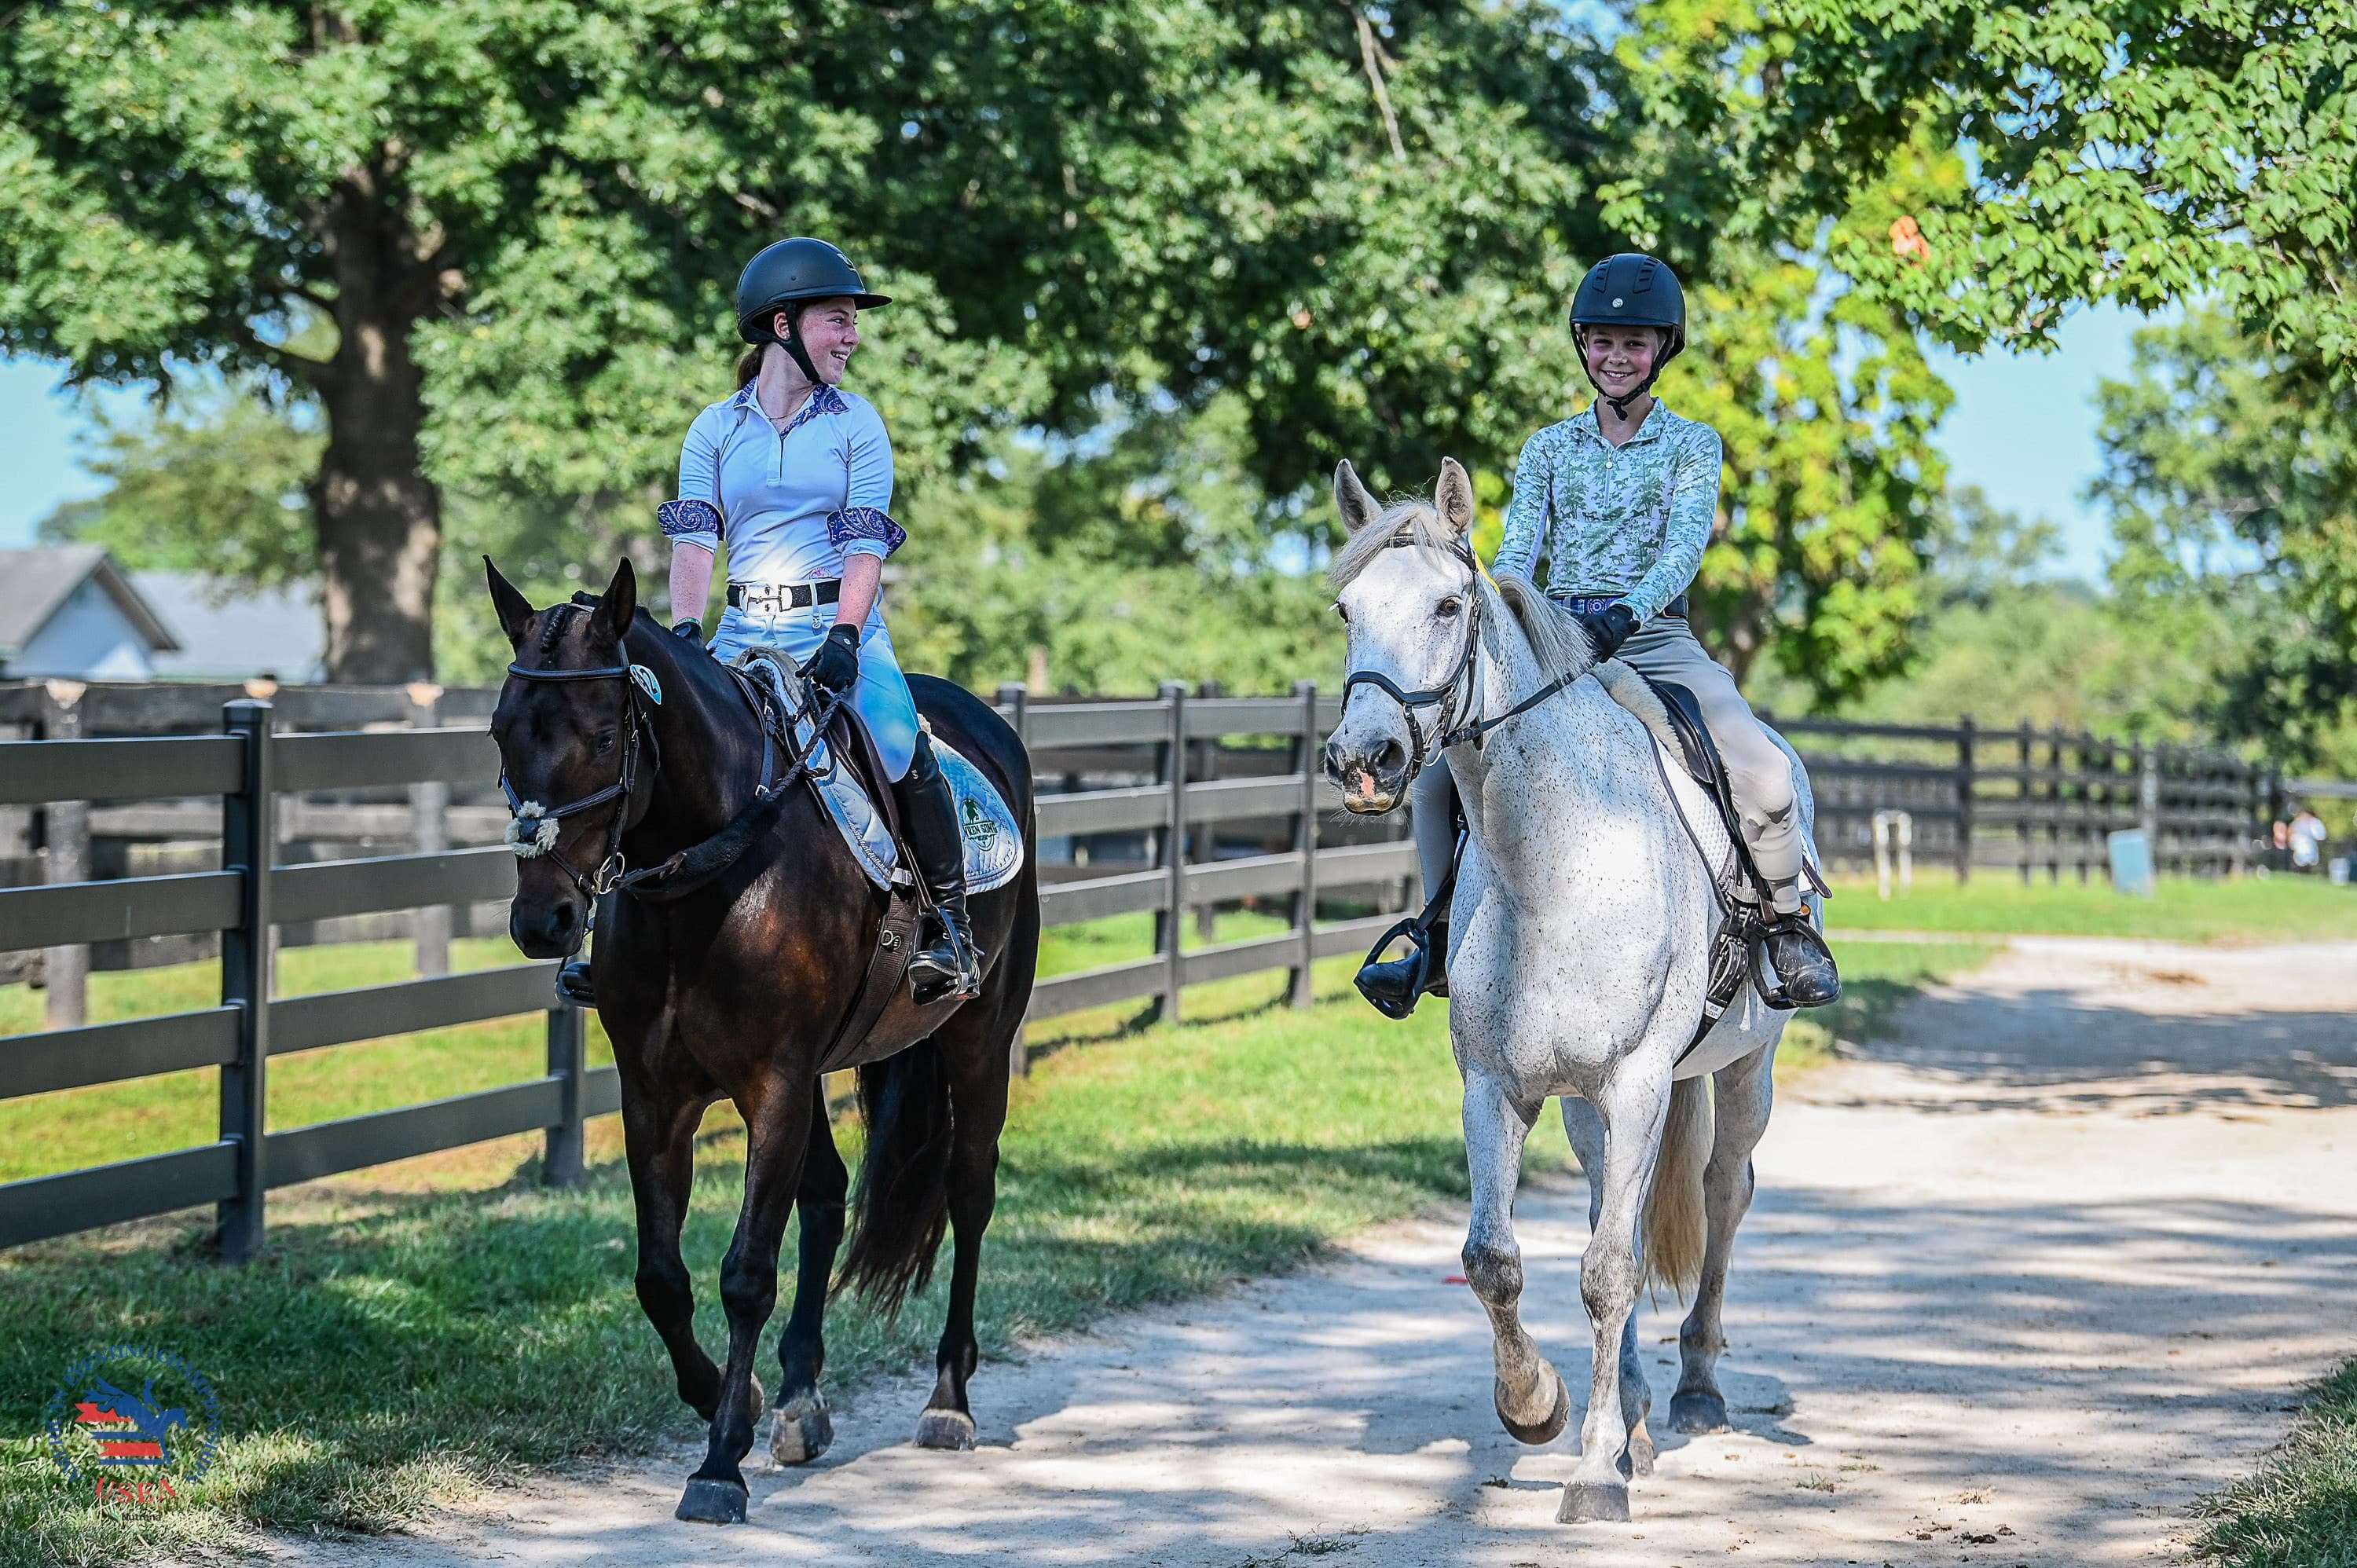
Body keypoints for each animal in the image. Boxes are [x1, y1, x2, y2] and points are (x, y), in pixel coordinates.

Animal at [485, 557, 1040, 1525]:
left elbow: (745, 1272)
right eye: (499, 733)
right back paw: (799, 1400)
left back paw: (948, 1400)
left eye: (604, 733)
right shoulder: (656, 1095)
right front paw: (729, 1399)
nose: (541, 919)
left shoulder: (773, 1085)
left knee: (969, 1194)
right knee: (826, 1196)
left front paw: (718, 1466)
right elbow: (661, 1277)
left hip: (977, 1042)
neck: (710, 874)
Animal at [1319, 459, 1814, 1524]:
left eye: (1448, 604)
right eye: (1346, 609)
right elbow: (1495, 1259)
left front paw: (1591, 1475)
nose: (1365, 760)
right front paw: (1539, 1406)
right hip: (1593, 1108)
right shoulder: (1494, 1086)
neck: (1554, 863)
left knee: (1722, 1192)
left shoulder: (1638, 1083)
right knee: (1603, 1209)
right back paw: (1633, 1421)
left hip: (1742, 1070)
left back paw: (1694, 1389)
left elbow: (1611, 1270)